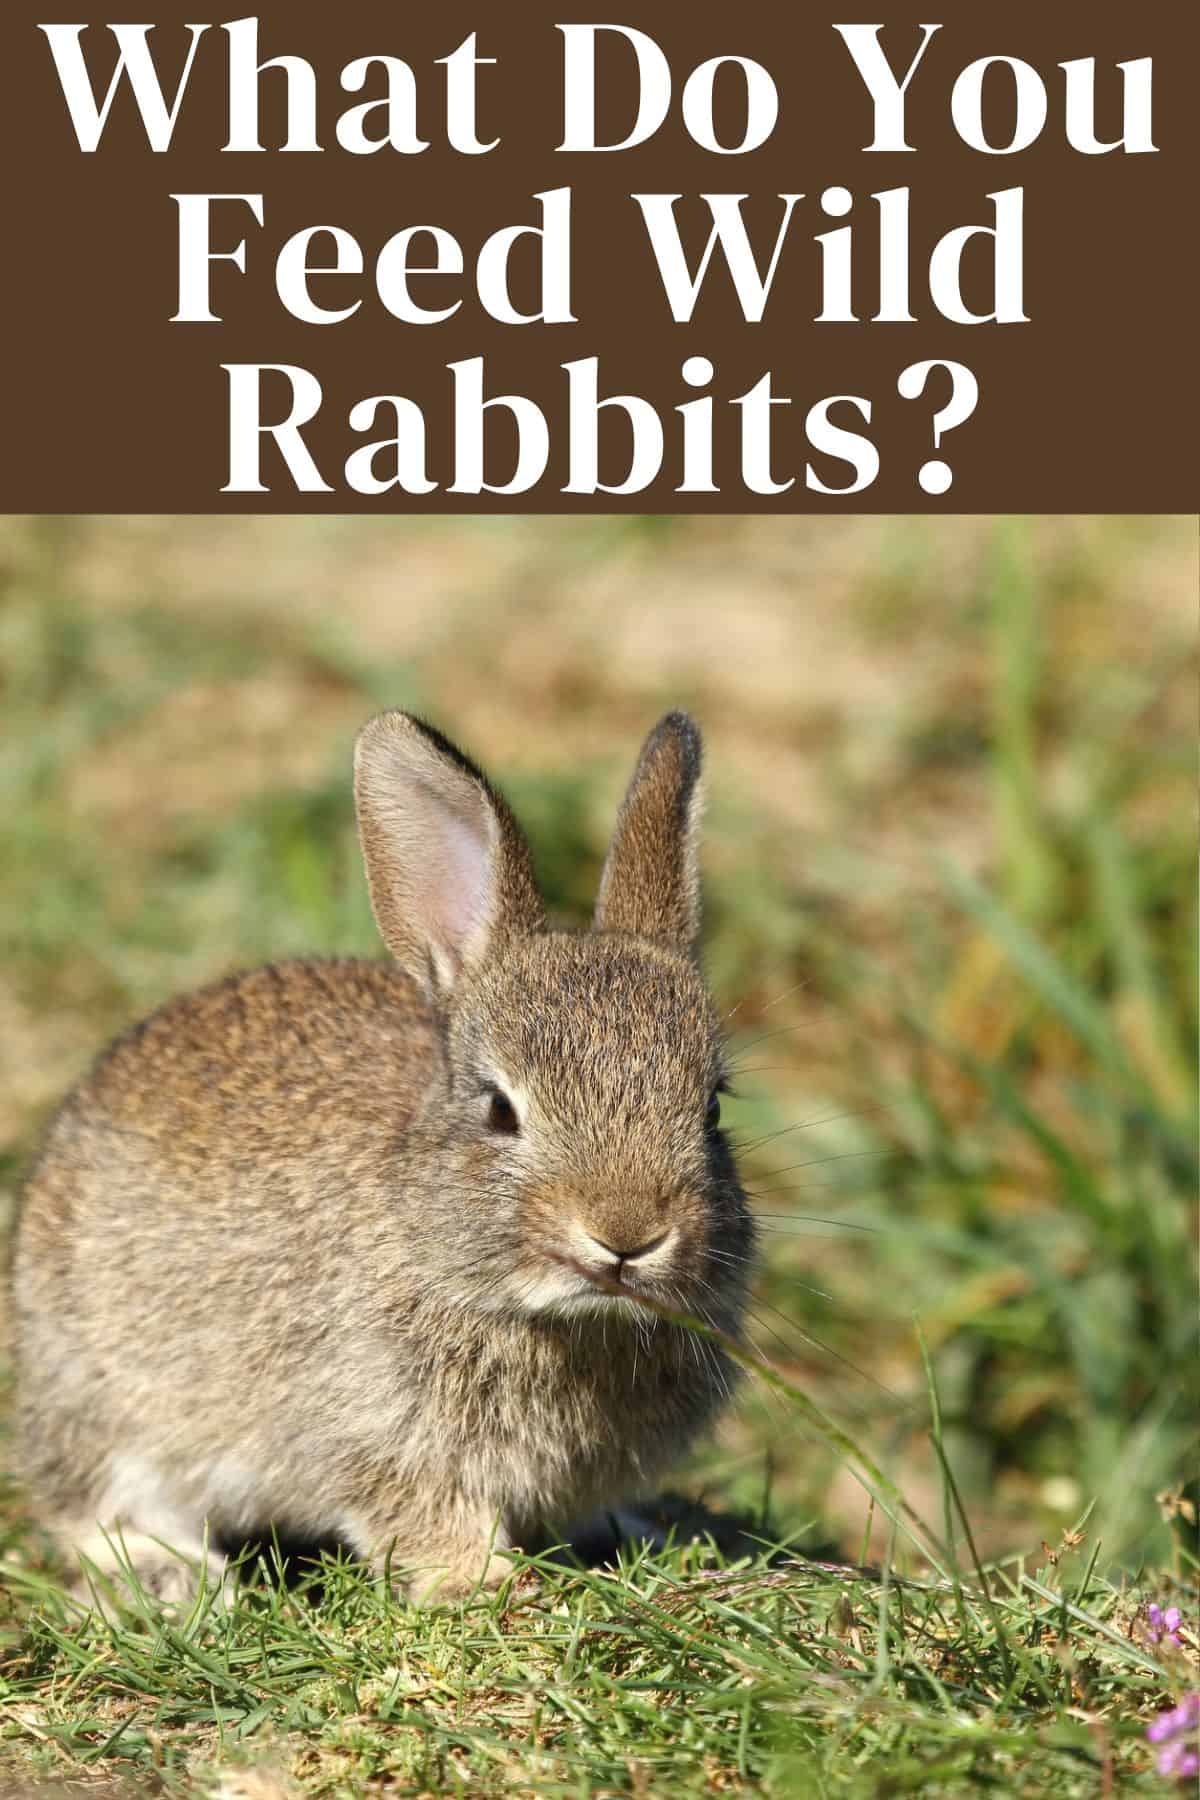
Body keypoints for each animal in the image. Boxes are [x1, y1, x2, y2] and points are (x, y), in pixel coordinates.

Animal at [11, 710, 756, 1606]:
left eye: (712, 1108)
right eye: (499, 1110)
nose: (626, 1236)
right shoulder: (375, 1434)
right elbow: (420, 1510)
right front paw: (482, 1582)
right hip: (95, 1389)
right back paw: (169, 1577)